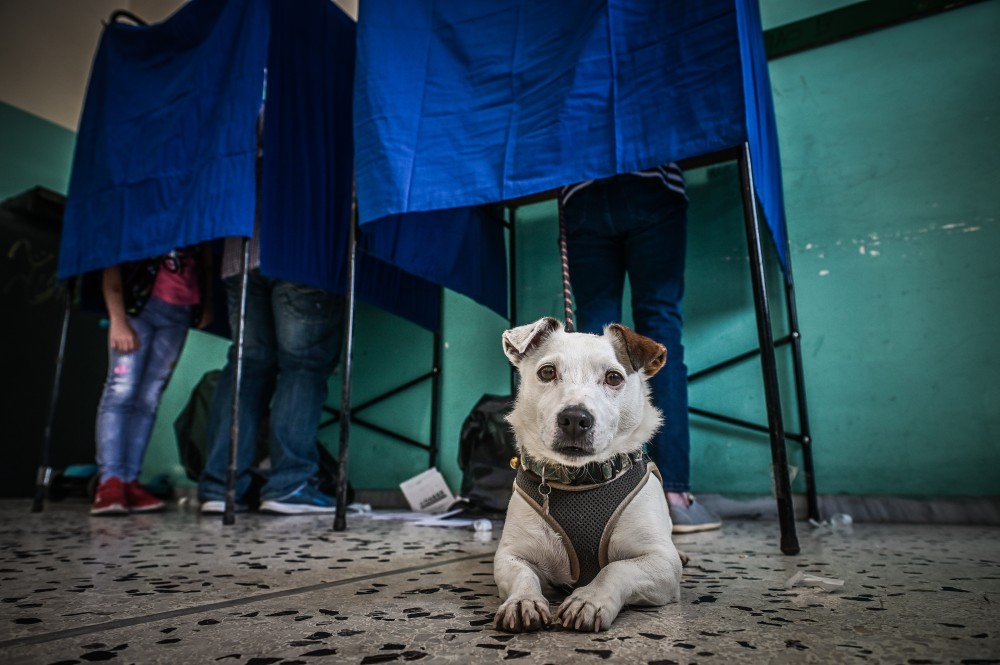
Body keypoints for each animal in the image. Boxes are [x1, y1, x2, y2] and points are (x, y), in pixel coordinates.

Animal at [494, 316, 684, 632]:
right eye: (547, 372)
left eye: (614, 377)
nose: (574, 418)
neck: (580, 479)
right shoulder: (511, 555)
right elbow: (523, 575)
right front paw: (523, 601)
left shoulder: (662, 562)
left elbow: (616, 569)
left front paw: (590, 600)